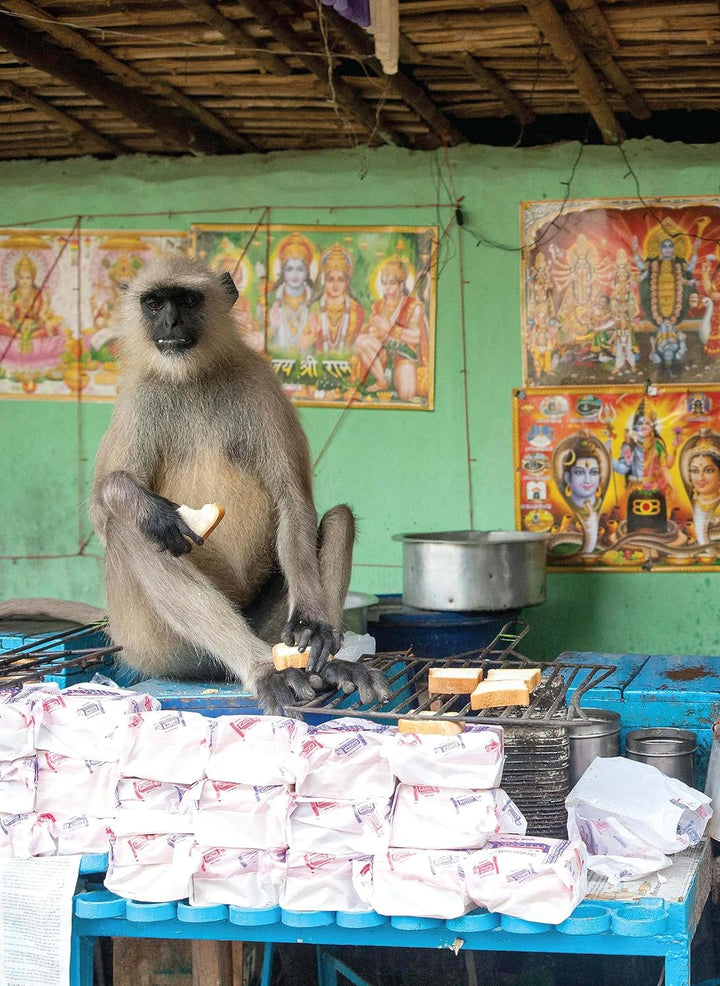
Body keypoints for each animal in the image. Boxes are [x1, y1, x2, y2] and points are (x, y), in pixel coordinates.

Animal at [91, 252, 394, 716]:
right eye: (155, 303)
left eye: (187, 300)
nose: (171, 323)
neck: (192, 377)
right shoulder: (138, 396)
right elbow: (101, 507)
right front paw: (148, 508)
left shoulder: (260, 383)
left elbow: (293, 501)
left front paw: (312, 621)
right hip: (153, 645)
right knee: (129, 532)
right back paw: (264, 670)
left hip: (268, 628)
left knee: (340, 518)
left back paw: (325, 666)